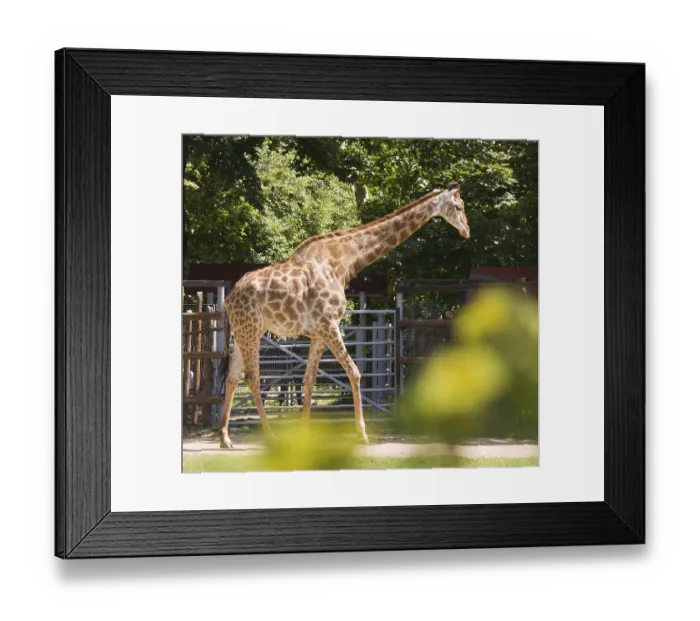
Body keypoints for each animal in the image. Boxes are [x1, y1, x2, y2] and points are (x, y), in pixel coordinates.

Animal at [218, 182, 470, 448]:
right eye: (458, 206)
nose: (466, 231)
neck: (344, 262)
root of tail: (227, 301)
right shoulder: (329, 324)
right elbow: (355, 372)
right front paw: (362, 433)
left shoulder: (319, 333)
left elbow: (309, 380)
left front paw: (304, 434)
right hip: (253, 330)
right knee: (252, 378)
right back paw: (269, 436)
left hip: (242, 333)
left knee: (232, 378)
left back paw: (225, 438)